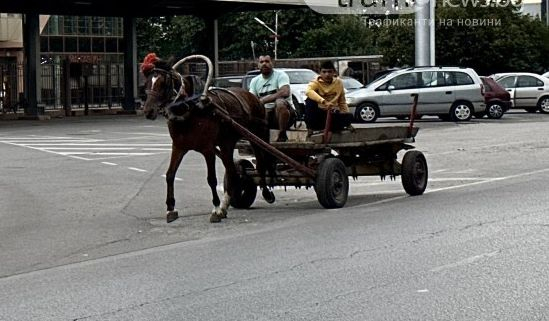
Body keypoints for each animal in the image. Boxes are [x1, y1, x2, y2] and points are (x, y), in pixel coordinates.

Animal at [141, 53, 274, 222]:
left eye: (163, 83)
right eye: (147, 81)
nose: (148, 111)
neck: (191, 108)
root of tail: (253, 96)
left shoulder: (208, 149)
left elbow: (211, 179)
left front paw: (215, 209)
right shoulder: (178, 147)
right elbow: (170, 175)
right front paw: (171, 209)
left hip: (256, 136)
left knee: (261, 163)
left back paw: (265, 192)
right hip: (226, 143)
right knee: (232, 171)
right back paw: (226, 204)